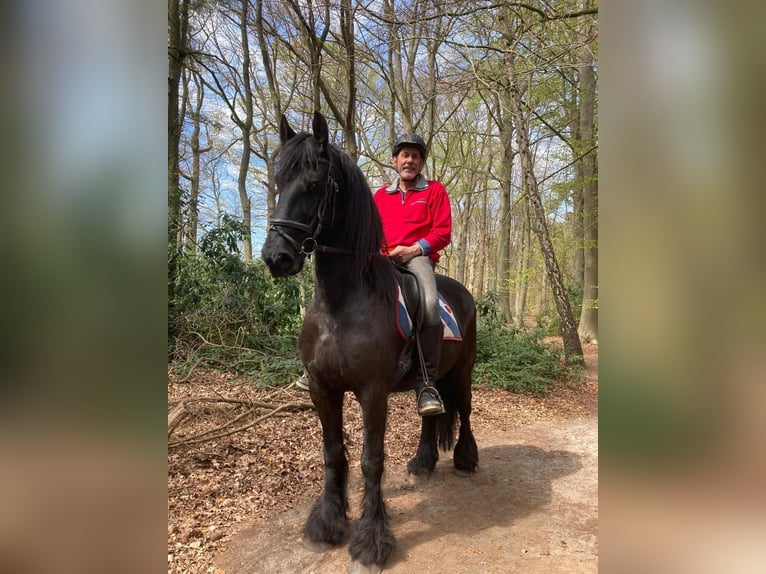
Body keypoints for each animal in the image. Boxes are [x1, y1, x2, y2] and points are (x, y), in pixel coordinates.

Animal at [261, 111, 478, 571]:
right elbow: (333, 453)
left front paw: (370, 542)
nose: (276, 257)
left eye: (314, 184)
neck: (341, 304)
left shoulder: (372, 392)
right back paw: (422, 463)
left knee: (465, 412)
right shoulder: (323, 389)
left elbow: (371, 461)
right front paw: (326, 525)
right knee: (430, 413)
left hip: (464, 372)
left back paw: (466, 460)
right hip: (428, 379)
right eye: (277, 180)